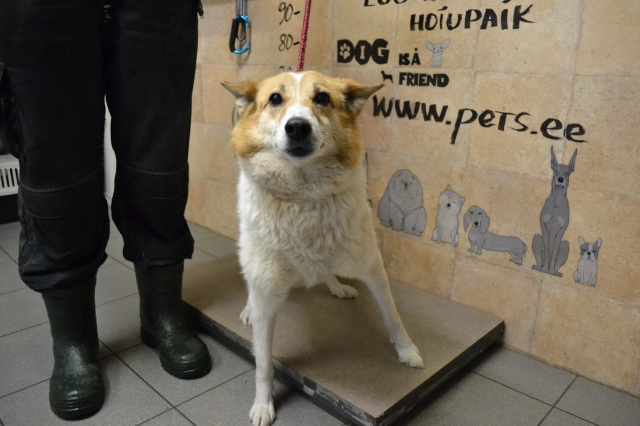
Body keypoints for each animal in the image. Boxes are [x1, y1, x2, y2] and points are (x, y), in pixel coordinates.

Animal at [222, 71, 423, 426]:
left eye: (323, 98)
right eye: (275, 99)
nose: (298, 127)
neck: (302, 195)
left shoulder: (371, 265)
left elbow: (392, 315)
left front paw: (406, 350)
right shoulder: (266, 289)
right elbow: (263, 363)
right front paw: (263, 404)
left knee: (326, 271)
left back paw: (336, 285)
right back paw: (248, 308)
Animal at [532, 146, 577, 277]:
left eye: (566, 172)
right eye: (556, 171)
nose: (560, 179)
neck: (557, 203)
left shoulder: (561, 231)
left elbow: (554, 250)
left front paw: (550, 270)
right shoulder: (544, 227)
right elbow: (548, 250)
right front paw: (545, 269)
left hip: (566, 245)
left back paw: (555, 272)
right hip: (536, 238)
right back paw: (539, 267)